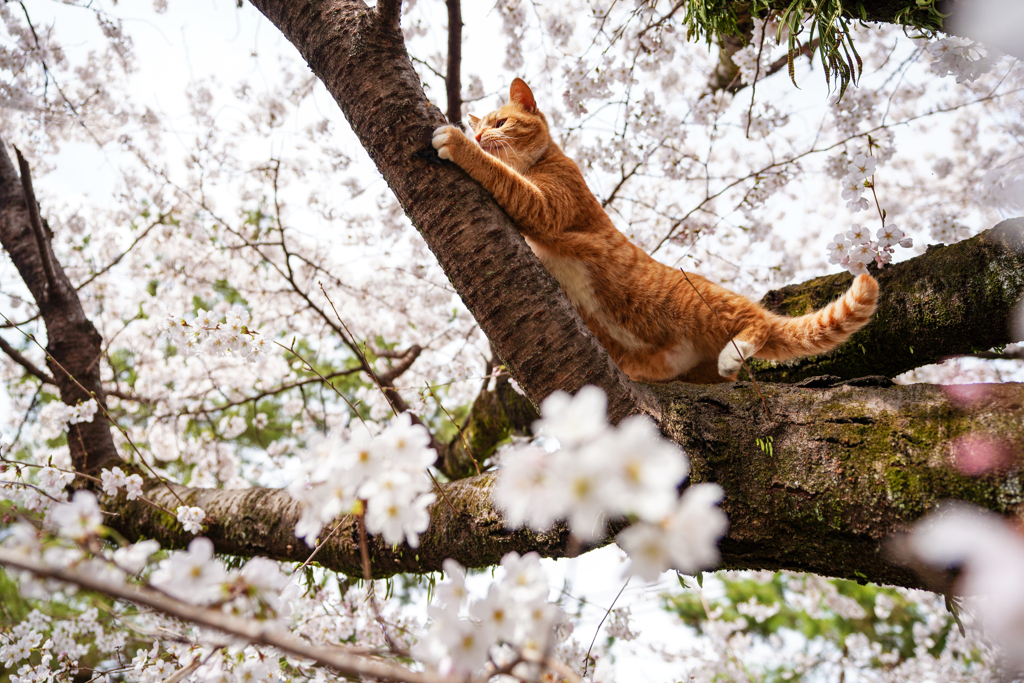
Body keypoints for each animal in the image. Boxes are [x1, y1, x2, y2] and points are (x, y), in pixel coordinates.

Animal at [432, 78, 880, 385]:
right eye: (482, 126)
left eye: (500, 122)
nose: (476, 134)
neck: (541, 162)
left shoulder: (547, 207)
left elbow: (502, 176)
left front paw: (456, 142)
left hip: (693, 303)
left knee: (758, 322)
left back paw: (736, 350)